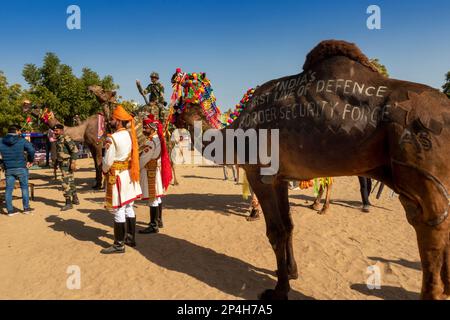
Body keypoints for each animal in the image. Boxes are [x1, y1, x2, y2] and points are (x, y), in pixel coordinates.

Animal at [172, 40, 450, 300]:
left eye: (180, 96)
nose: (169, 116)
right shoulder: (280, 178)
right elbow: (289, 225)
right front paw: (290, 271)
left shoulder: (260, 174)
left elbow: (275, 231)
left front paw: (279, 289)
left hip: (420, 167)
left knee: (429, 222)